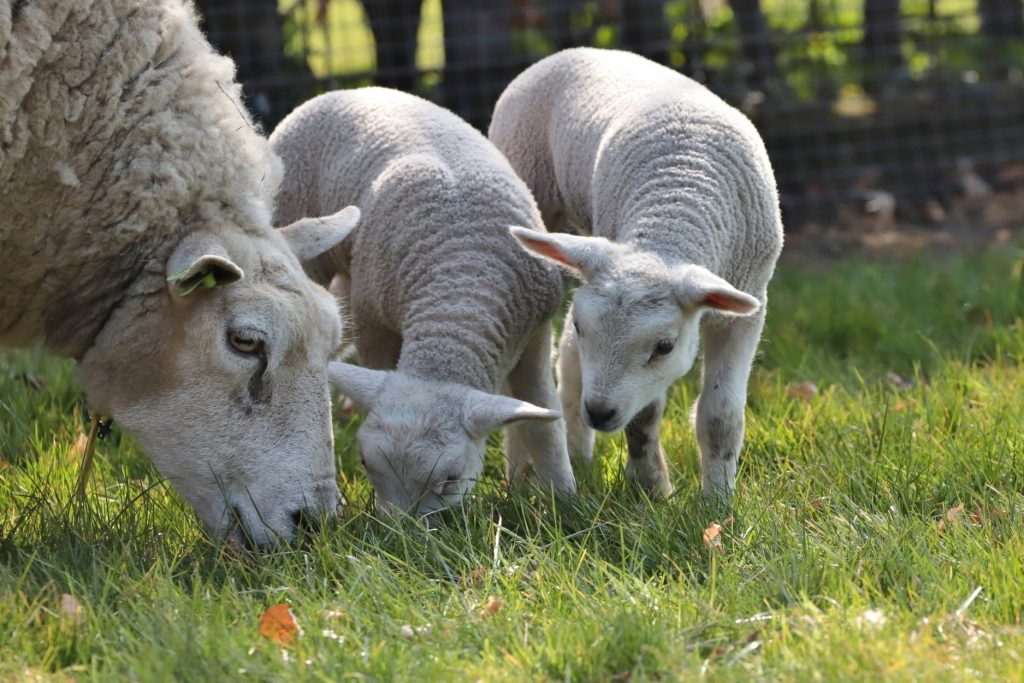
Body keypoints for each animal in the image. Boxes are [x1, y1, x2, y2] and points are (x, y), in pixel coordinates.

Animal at [270, 87, 577, 511]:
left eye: (450, 480)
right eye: (364, 464)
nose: (404, 529)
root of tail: (343, 91)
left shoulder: (535, 332)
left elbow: (541, 415)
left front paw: (565, 498)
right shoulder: (375, 324)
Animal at [487, 46, 782, 497]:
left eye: (664, 346)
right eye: (583, 327)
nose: (600, 412)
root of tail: (570, 51)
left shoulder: (748, 306)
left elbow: (720, 415)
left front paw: (717, 500)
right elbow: (644, 415)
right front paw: (650, 487)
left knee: (567, 359)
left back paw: (577, 453)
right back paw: (527, 469)